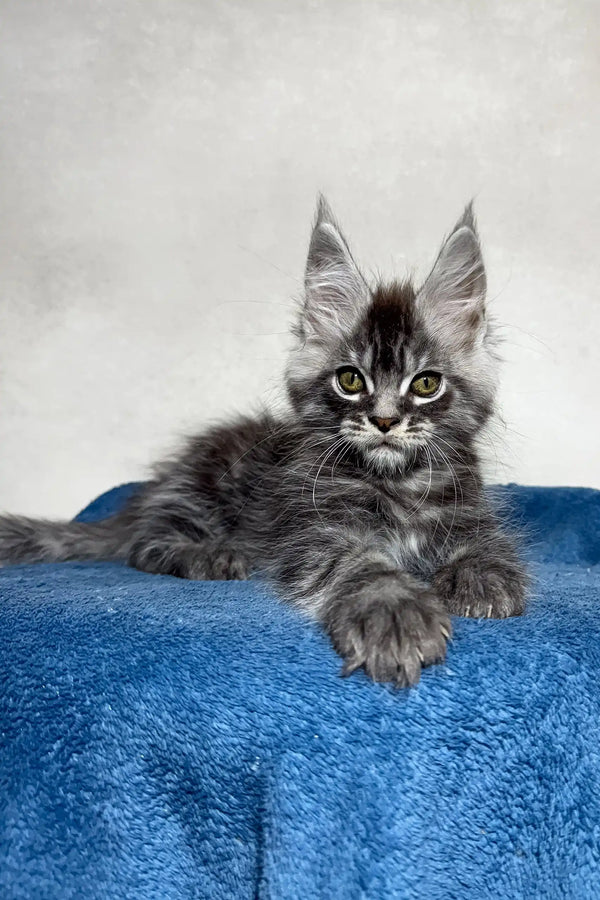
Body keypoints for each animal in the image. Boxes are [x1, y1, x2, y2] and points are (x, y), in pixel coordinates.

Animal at [0, 197, 524, 684]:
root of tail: (155, 491)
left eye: (426, 384)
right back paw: (210, 554)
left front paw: (482, 578)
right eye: (350, 380)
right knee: (143, 544)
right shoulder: (314, 531)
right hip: (205, 493)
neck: (397, 483)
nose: (384, 420)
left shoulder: (468, 511)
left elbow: (489, 546)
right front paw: (393, 611)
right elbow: (360, 565)